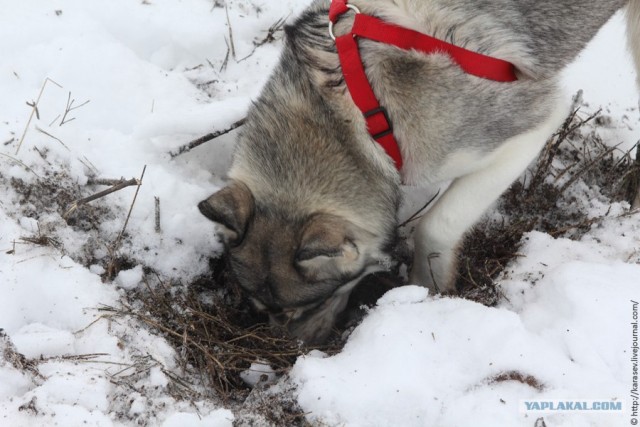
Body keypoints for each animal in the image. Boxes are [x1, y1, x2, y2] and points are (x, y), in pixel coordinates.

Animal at [201, 0, 640, 342]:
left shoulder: (530, 125)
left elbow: (436, 225)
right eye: (263, 308)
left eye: (310, 304)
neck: (358, 112)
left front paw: (426, 289)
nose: (295, 348)